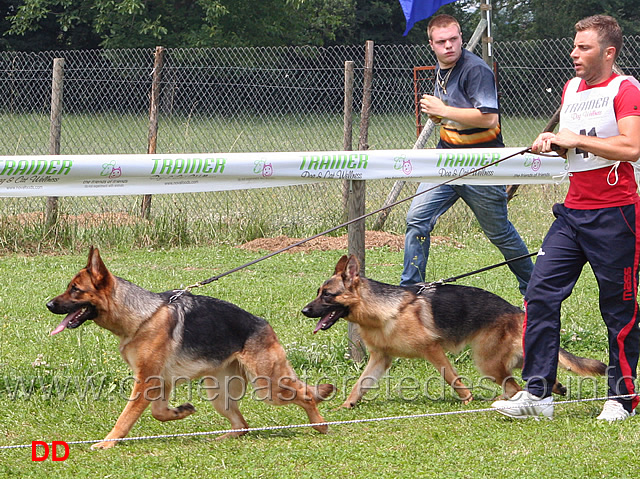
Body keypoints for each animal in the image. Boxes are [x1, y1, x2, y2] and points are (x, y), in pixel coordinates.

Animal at [47, 248, 336, 450]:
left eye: (75, 290)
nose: (48, 304)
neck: (143, 316)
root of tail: (264, 324)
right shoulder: (159, 381)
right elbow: (159, 413)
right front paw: (181, 411)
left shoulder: (145, 381)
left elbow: (125, 418)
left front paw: (108, 442)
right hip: (218, 394)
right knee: (243, 425)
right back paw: (221, 438)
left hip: (268, 387)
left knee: (306, 396)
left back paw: (320, 425)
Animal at [300, 255, 604, 408]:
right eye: (318, 292)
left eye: (327, 295)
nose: (304, 310)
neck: (384, 310)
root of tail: (517, 310)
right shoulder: (380, 359)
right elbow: (359, 384)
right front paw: (346, 406)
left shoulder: (432, 350)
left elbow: (452, 378)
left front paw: (467, 399)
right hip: (503, 358)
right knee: (532, 373)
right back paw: (554, 387)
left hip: (486, 361)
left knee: (514, 386)